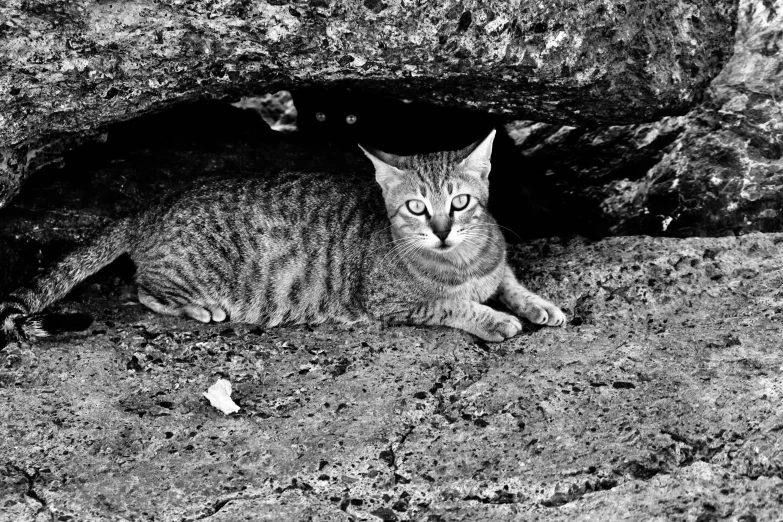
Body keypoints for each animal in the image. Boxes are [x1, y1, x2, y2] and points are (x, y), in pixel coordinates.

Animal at [0, 129, 564, 342]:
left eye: (460, 202)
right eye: (416, 208)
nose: (443, 231)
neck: (463, 261)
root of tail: (154, 206)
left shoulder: (498, 263)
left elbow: (511, 280)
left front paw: (540, 305)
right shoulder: (392, 302)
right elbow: (453, 305)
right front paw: (494, 319)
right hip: (190, 271)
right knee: (142, 288)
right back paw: (201, 308)